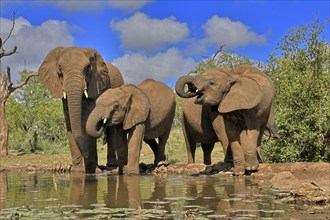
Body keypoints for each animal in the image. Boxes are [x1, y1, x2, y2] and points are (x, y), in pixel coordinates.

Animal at [37, 46, 124, 174]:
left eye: (88, 69)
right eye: (59, 69)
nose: (86, 156)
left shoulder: (95, 85)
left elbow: (85, 122)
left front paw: (93, 170)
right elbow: (70, 124)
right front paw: (78, 171)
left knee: (111, 130)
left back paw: (111, 165)